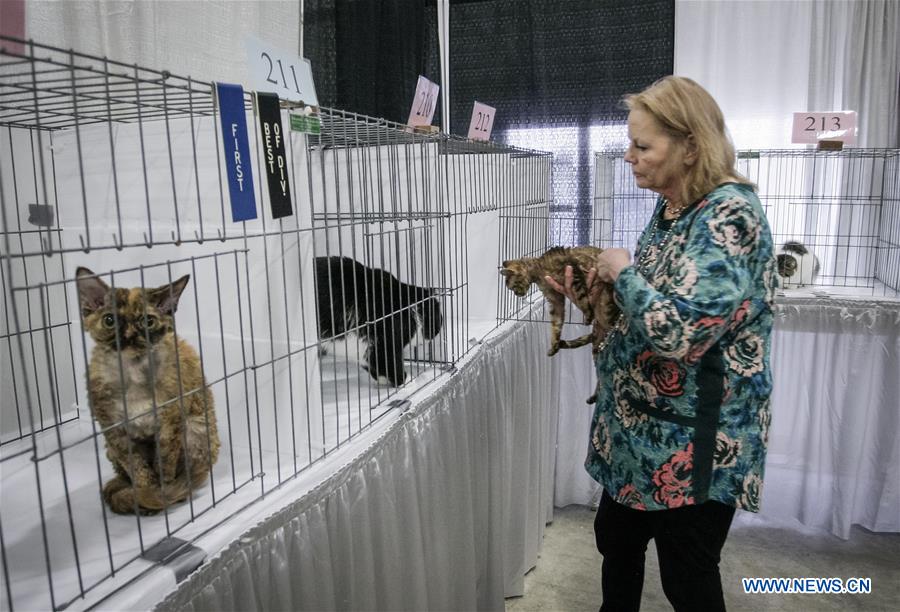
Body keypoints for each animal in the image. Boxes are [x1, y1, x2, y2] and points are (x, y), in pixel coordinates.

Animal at [76, 270, 220, 512]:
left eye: (148, 321)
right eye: (109, 320)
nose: (129, 335)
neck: (133, 374)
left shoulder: (170, 425)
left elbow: (165, 465)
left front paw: (163, 495)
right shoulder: (116, 433)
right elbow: (139, 470)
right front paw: (148, 495)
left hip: (195, 429)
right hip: (112, 449)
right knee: (125, 475)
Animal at [314, 256, 444, 384]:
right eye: (438, 319)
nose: (438, 330)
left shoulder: (358, 346)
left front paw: (382, 379)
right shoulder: (383, 342)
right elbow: (390, 364)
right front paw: (407, 380)